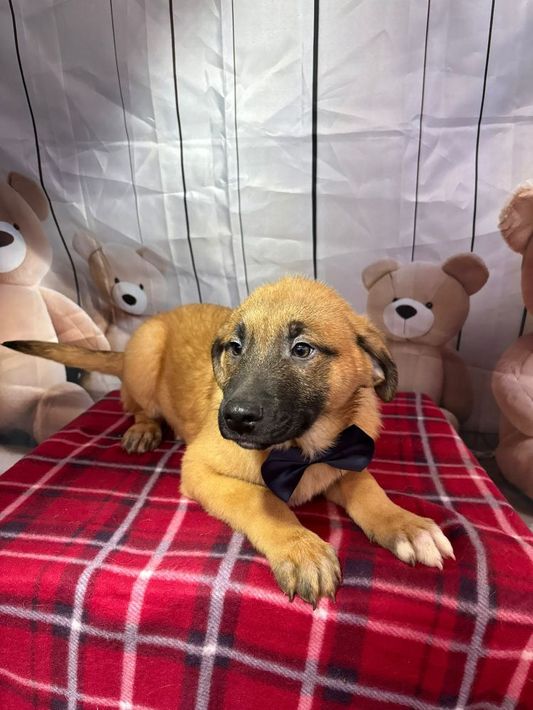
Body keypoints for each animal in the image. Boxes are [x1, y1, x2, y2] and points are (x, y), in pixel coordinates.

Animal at [3, 275, 454, 606]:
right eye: (235, 347)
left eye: (302, 349)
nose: (234, 418)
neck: (300, 450)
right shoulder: (199, 467)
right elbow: (261, 498)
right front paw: (301, 548)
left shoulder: (346, 455)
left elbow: (368, 488)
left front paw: (406, 525)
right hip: (146, 356)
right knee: (137, 405)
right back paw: (144, 428)